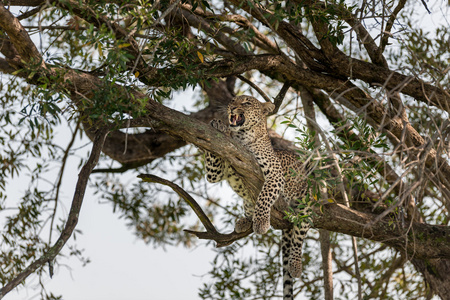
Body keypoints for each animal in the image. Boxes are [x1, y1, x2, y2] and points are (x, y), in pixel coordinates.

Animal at [205, 95, 312, 298]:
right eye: (233, 99)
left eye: (246, 102)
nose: (231, 107)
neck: (241, 137)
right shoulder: (215, 173)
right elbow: (212, 159)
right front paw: (217, 125)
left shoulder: (275, 175)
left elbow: (264, 197)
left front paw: (262, 223)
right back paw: (245, 221)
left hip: (306, 204)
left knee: (298, 238)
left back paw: (295, 265)